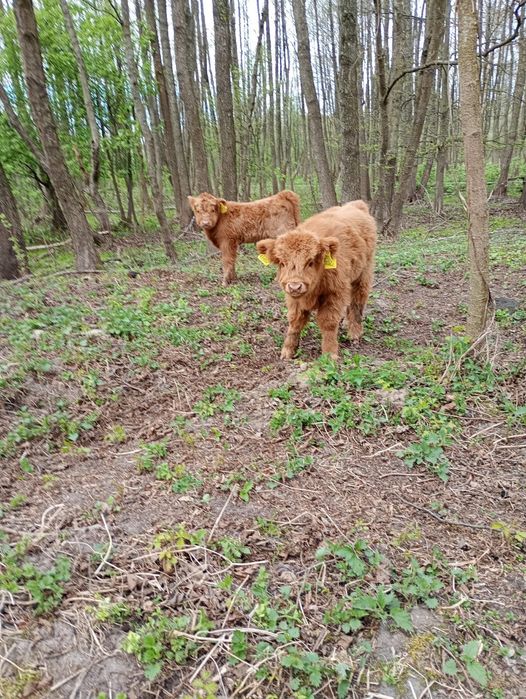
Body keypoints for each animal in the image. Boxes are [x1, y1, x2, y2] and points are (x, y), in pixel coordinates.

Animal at [256, 200, 377, 359]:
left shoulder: (334, 293)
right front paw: (287, 351)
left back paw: (354, 333)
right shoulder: (293, 299)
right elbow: (295, 321)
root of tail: (356, 205)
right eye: (282, 262)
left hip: (364, 273)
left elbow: (328, 323)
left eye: (310, 262)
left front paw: (330, 354)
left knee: (358, 301)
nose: (295, 286)